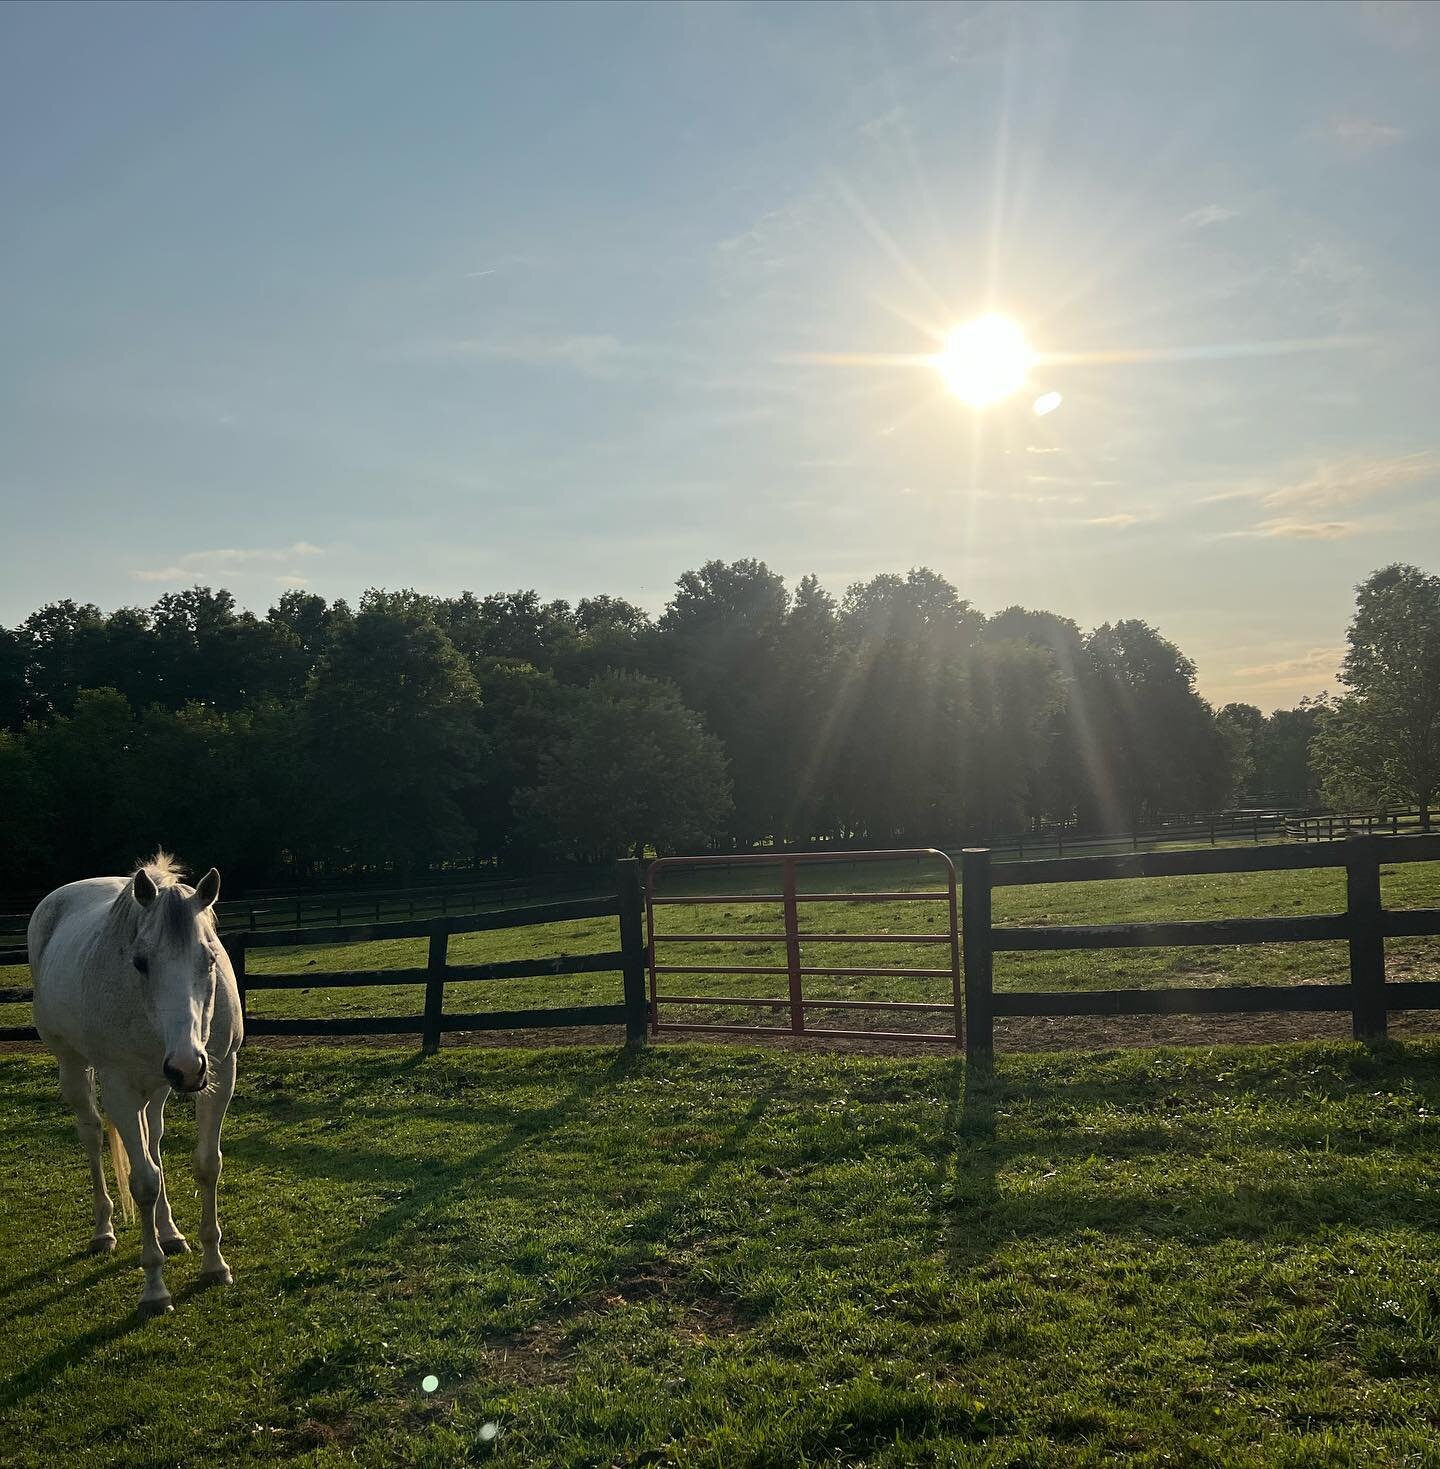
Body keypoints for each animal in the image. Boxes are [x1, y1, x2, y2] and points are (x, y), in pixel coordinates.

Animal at [28, 852, 243, 1322]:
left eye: (209, 959)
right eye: (140, 962)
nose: (187, 1067)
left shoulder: (220, 1076)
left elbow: (205, 1165)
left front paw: (214, 1265)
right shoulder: (121, 1090)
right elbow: (143, 1182)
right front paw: (154, 1291)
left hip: (159, 1087)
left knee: (153, 1140)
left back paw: (170, 1233)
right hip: (75, 1068)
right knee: (93, 1136)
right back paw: (103, 1231)